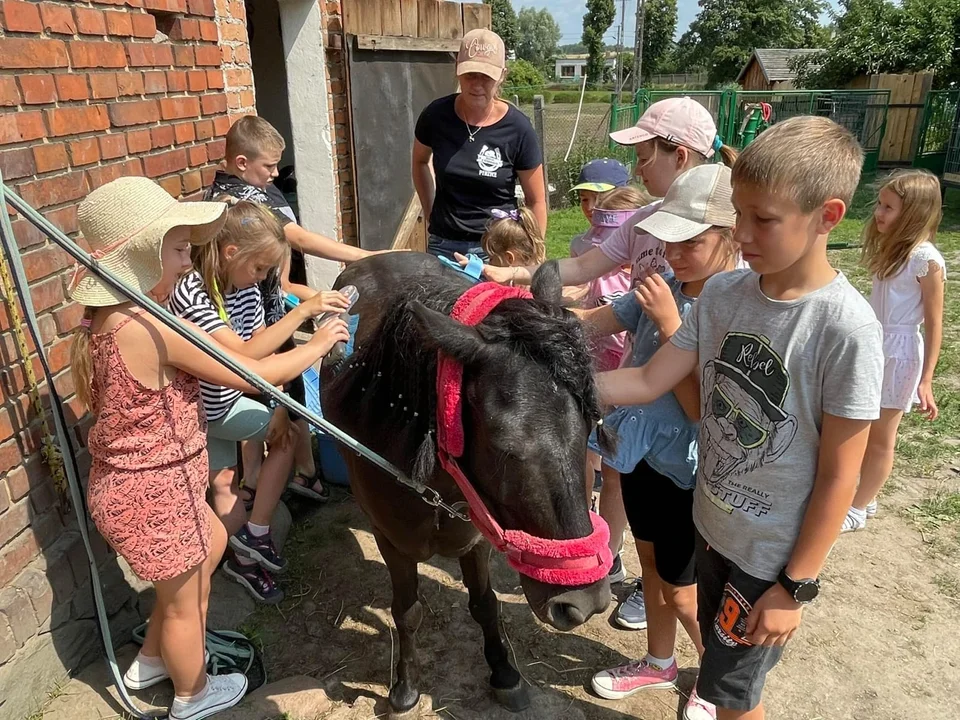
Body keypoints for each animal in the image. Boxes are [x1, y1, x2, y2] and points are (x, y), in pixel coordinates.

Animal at [320, 253, 608, 716]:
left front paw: (504, 671)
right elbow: (407, 612)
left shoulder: (477, 538)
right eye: (505, 446)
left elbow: (485, 604)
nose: (583, 602)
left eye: (590, 426)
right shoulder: (392, 541)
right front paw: (404, 688)